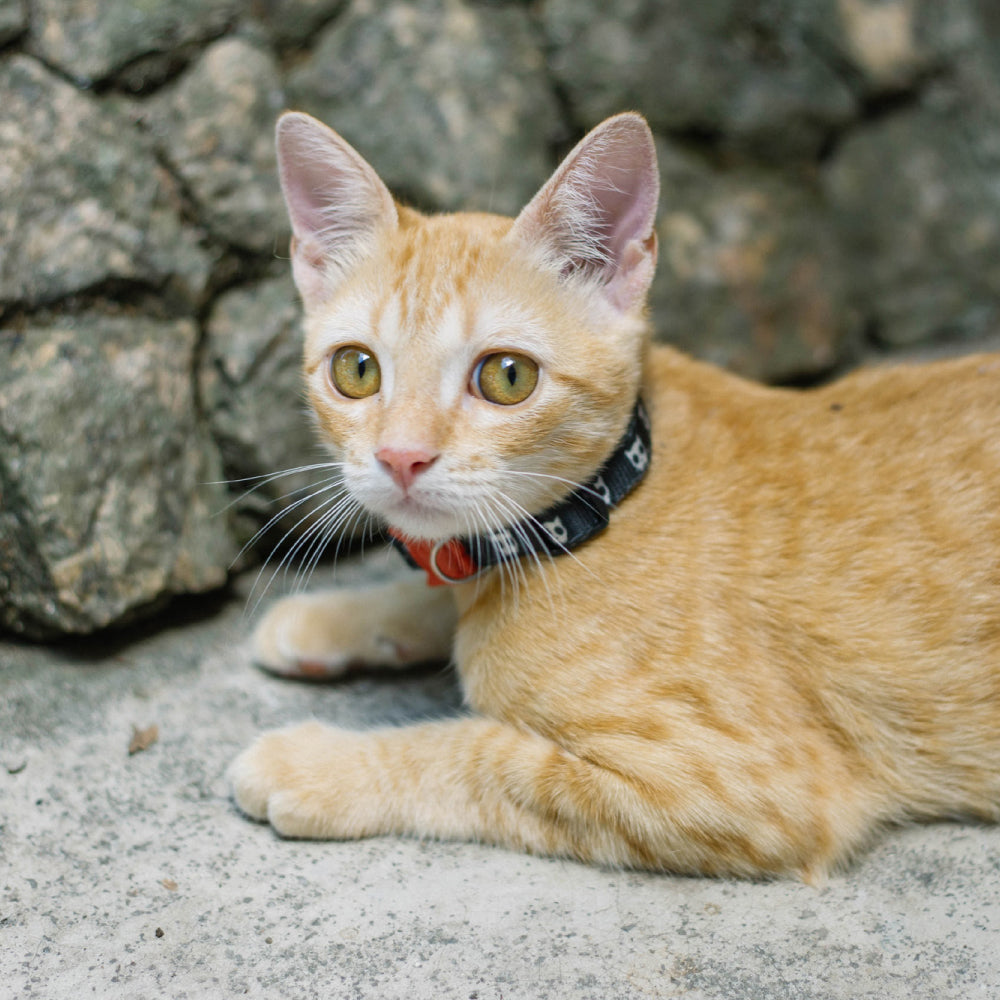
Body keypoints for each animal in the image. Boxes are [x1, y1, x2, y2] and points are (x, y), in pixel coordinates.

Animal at [230, 105, 1000, 880]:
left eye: (507, 377)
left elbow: (478, 754)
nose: (401, 456)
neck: (603, 505)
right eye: (356, 370)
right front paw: (333, 618)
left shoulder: (746, 786)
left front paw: (317, 765)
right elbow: (434, 588)